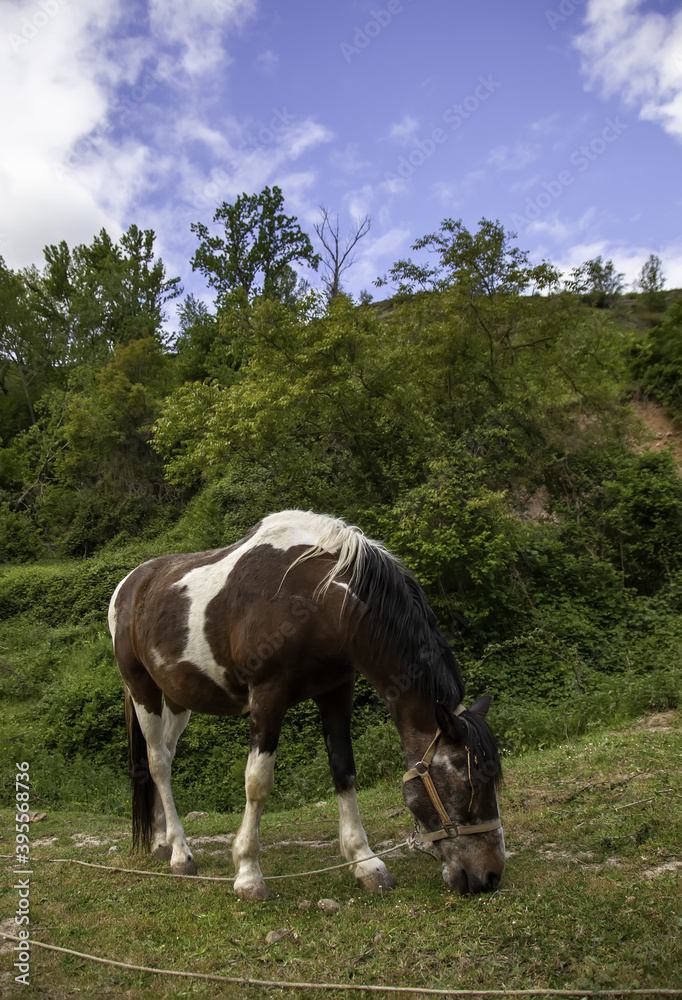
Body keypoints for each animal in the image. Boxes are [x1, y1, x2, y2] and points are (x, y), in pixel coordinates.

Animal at [105, 508, 500, 900]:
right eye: (467, 785)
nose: (489, 876)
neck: (314, 598)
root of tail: (129, 585)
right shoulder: (267, 696)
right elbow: (257, 782)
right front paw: (248, 873)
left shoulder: (336, 690)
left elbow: (344, 770)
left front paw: (366, 862)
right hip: (142, 690)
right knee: (157, 763)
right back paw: (180, 855)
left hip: (177, 700)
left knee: (166, 758)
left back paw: (162, 842)